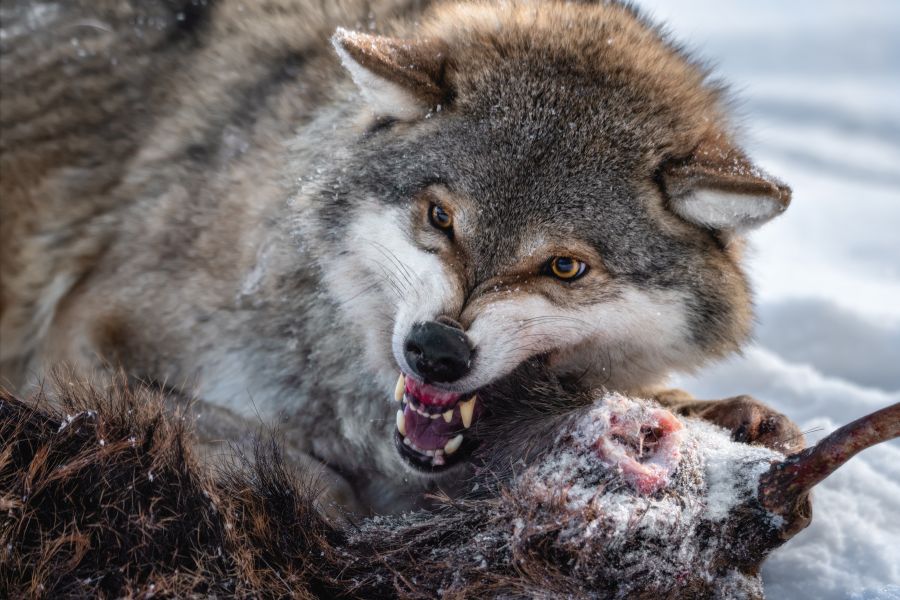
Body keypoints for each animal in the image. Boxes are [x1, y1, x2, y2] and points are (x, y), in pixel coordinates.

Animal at [3, 2, 796, 512]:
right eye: (440, 218)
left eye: (566, 267)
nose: (437, 351)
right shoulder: (79, 342)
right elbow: (306, 473)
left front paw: (733, 416)